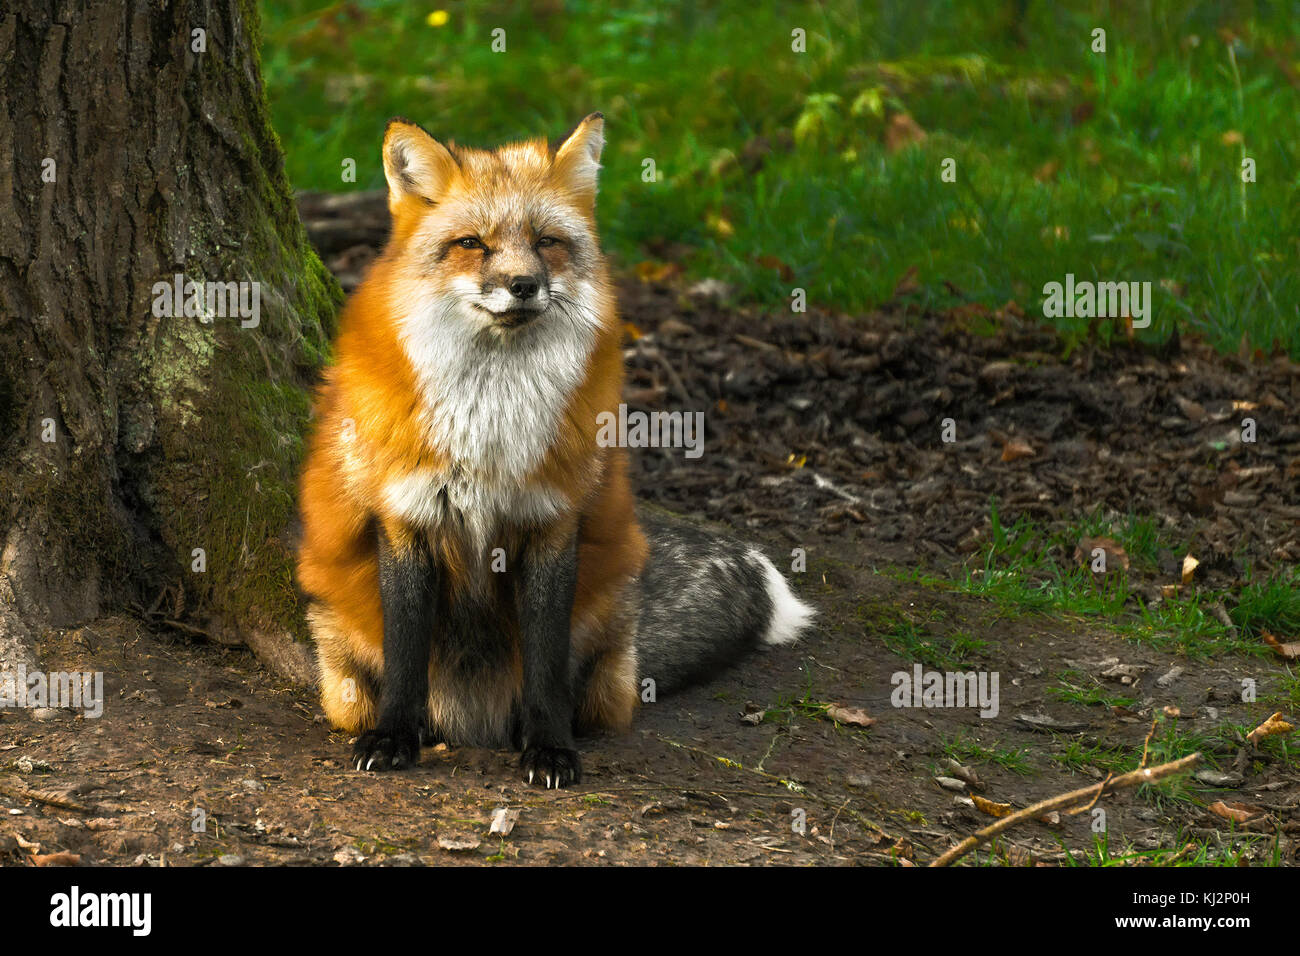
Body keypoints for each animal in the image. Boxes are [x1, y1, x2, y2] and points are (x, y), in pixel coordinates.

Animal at [299, 113, 816, 785]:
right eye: (472, 244)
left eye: (546, 242)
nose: (523, 285)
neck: (489, 430)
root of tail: (473, 719)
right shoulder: (406, 518)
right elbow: (406, 655)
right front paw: (393, 738)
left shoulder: (551, 520)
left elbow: (545, 660)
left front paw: (549, 748)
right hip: (340, 665)